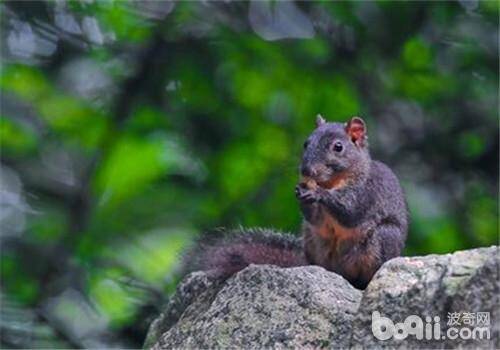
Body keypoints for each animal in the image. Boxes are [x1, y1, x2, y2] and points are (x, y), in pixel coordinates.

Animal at [186, 116, 408, 288]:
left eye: (338, 147)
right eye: (306, 143)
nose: (306, 170)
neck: (333, 181)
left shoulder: (367, 192)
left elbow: (350, 211)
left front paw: (318, 193)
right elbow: (316, 218)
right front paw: (301, 192)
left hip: (384, 239)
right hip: (311, 240)